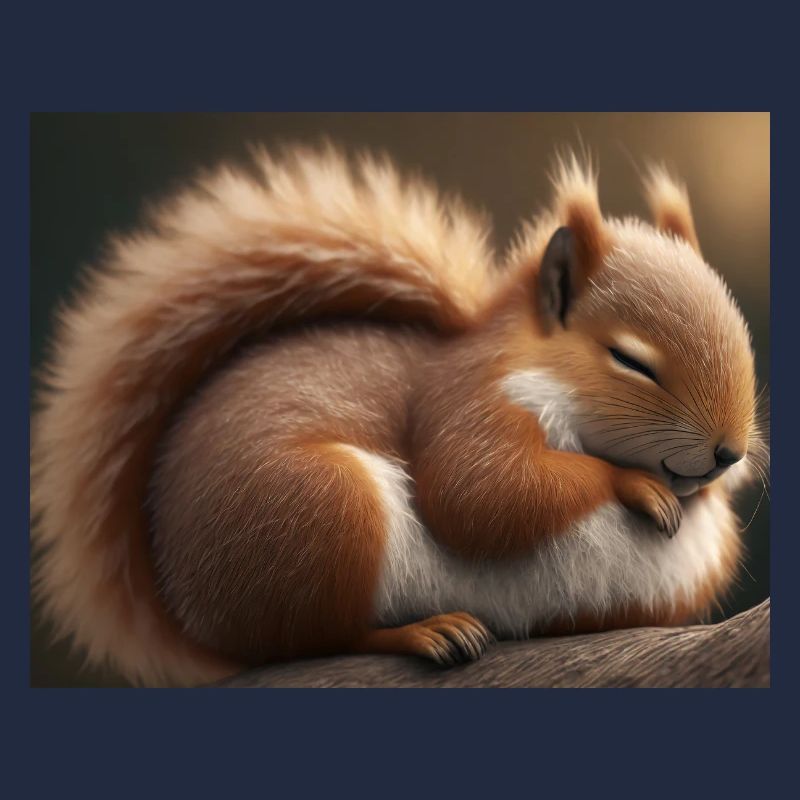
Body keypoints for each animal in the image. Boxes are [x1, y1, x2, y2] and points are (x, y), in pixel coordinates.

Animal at [31, 145, 767, 687]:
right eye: (629, 360)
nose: (728, 452)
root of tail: (188, 602)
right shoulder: (465, 402)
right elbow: (480, 493)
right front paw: (633, 484)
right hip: (321, 511)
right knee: (316, 638)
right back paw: (427, 631)